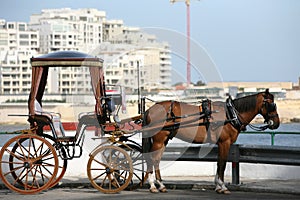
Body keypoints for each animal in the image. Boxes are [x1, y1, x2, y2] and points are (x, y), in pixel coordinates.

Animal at [142, 89, 280, 194]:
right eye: (271, 104)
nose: (277, 123)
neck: (231, 114)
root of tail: (149, 110)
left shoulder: (221, 144)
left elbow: (219, 163)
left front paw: (218, 186)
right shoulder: (225, 142)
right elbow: (223, 164)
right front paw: (223, 187)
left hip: (164, 140)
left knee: (156, 160)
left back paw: (161, 185)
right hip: (159, 140)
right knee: (152, 159)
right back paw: (153, 186)